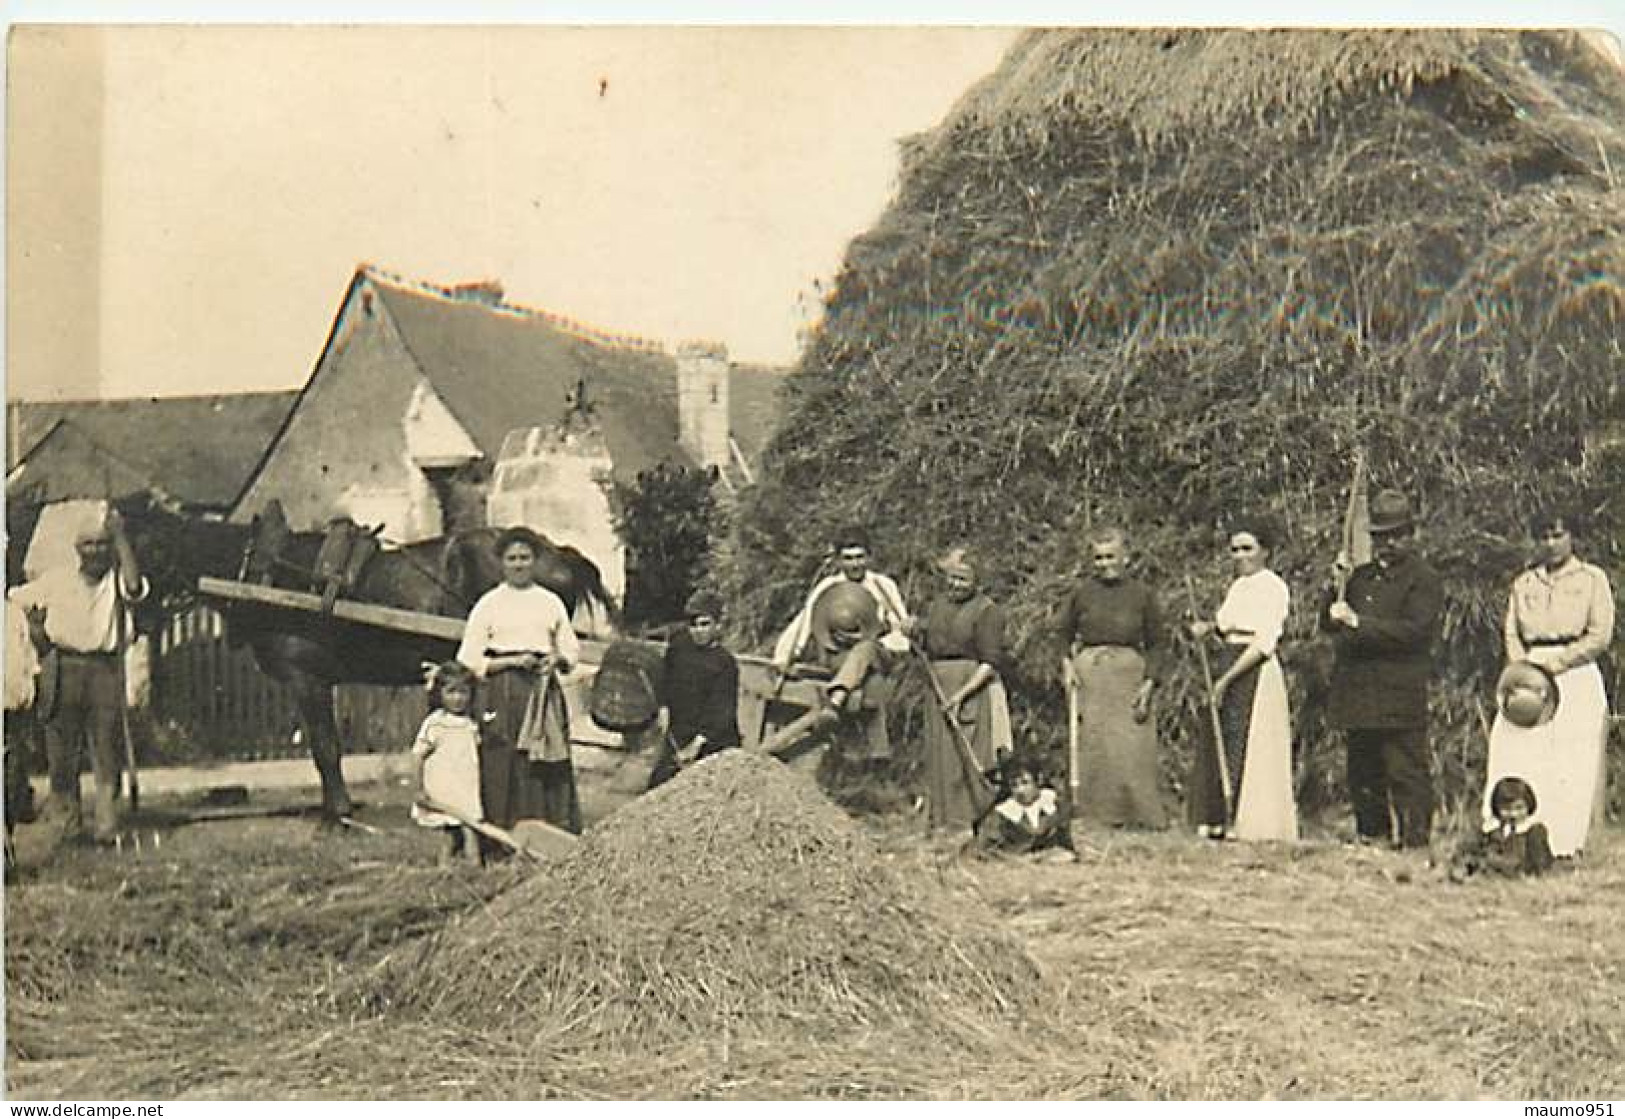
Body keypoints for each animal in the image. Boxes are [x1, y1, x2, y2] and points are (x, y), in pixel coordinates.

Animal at [114, 496, 617, 821]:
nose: (136, 606)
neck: (269, 576)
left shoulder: (308, 680)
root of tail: (557, 553)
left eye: (153, 547)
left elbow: (325, 748)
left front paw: (337, 813)